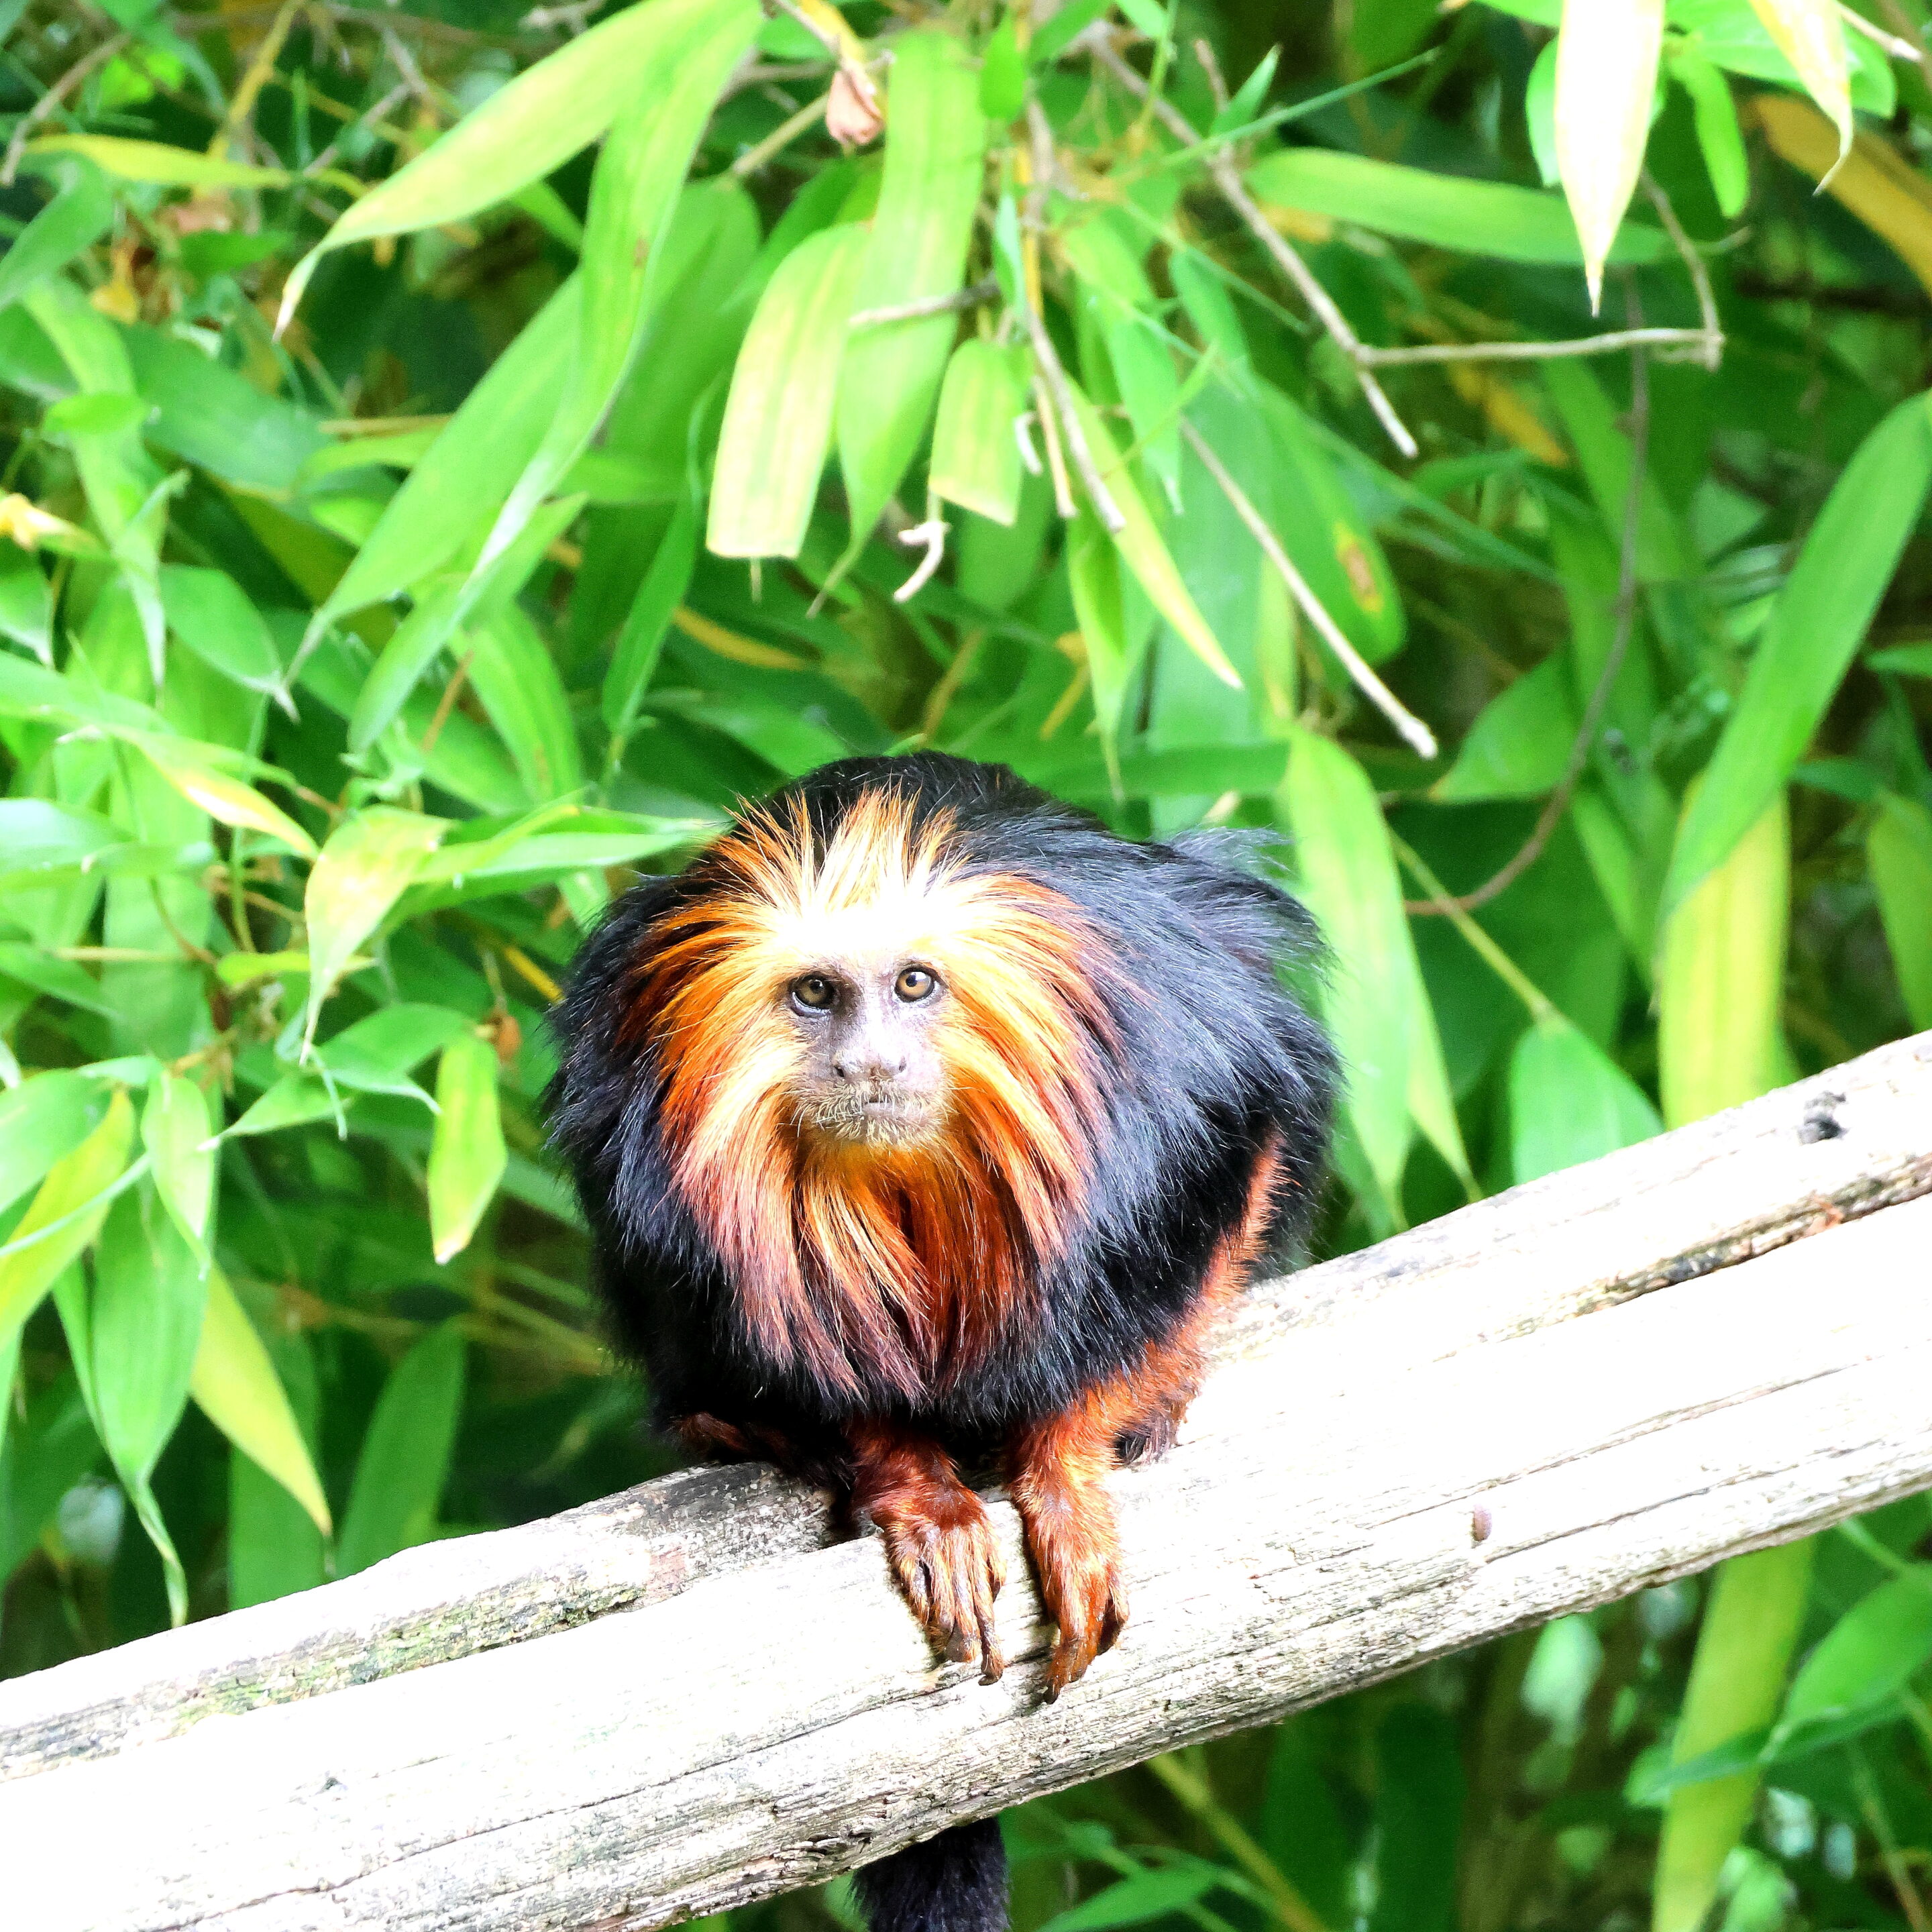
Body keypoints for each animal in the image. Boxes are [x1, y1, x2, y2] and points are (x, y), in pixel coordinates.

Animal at [548, 752, 1335, 1932]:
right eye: (817, 995)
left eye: (914, 986)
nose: (870, 1064)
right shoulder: (633, 1126)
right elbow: (790, 1357)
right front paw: (915, 1491)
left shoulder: (1191, 1056)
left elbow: (1199, 1210)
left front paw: (1070, 1466)